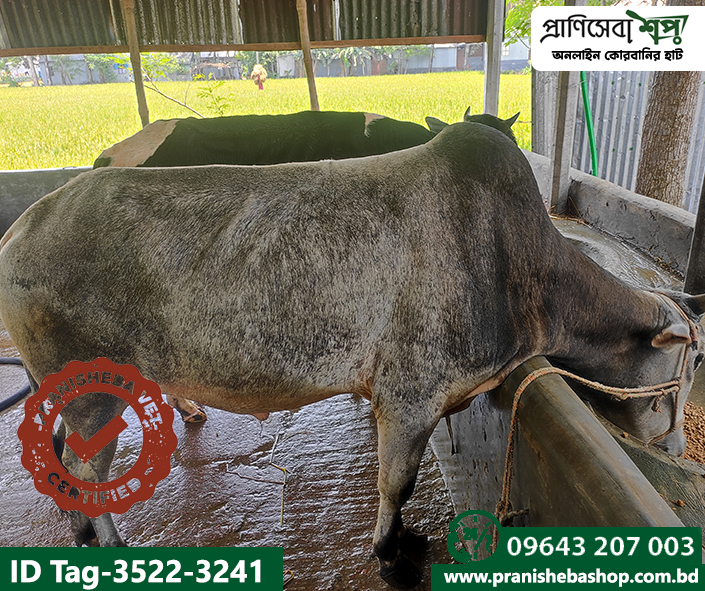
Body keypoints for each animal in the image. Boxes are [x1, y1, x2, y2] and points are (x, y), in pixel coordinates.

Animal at [2, 122, 702, 588]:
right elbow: (396, 482)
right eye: (688, 367)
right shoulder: (412, 393)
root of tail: (22, 230)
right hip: (96, 392)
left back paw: (78, 529)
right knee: (85, 467)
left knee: (59, 455)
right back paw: (110, 545)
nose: (675, 448)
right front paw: (390, 553)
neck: (521, 268)